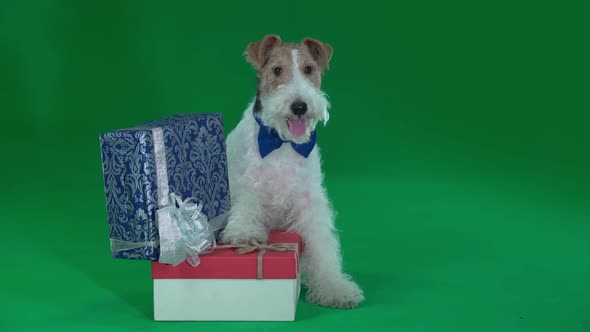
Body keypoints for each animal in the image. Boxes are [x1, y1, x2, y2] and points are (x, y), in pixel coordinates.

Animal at [220, 35, 364, 308]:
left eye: (309, 69)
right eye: (277, 70)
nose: (299, 106)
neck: (282, 141)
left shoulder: (309, 200)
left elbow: (322, 248)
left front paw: (334, 288)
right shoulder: (249, 185)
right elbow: (246, 208)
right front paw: (244, 233)